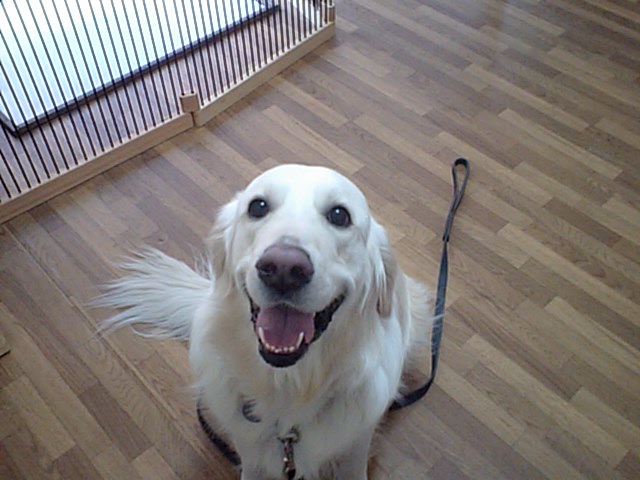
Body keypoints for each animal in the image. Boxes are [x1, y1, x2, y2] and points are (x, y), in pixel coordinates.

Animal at [100, 164, 432, 480]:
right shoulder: (251, 456)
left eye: (340, 215)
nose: (284, 268)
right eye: (258, 206)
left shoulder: (355, 448)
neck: (290, 388)